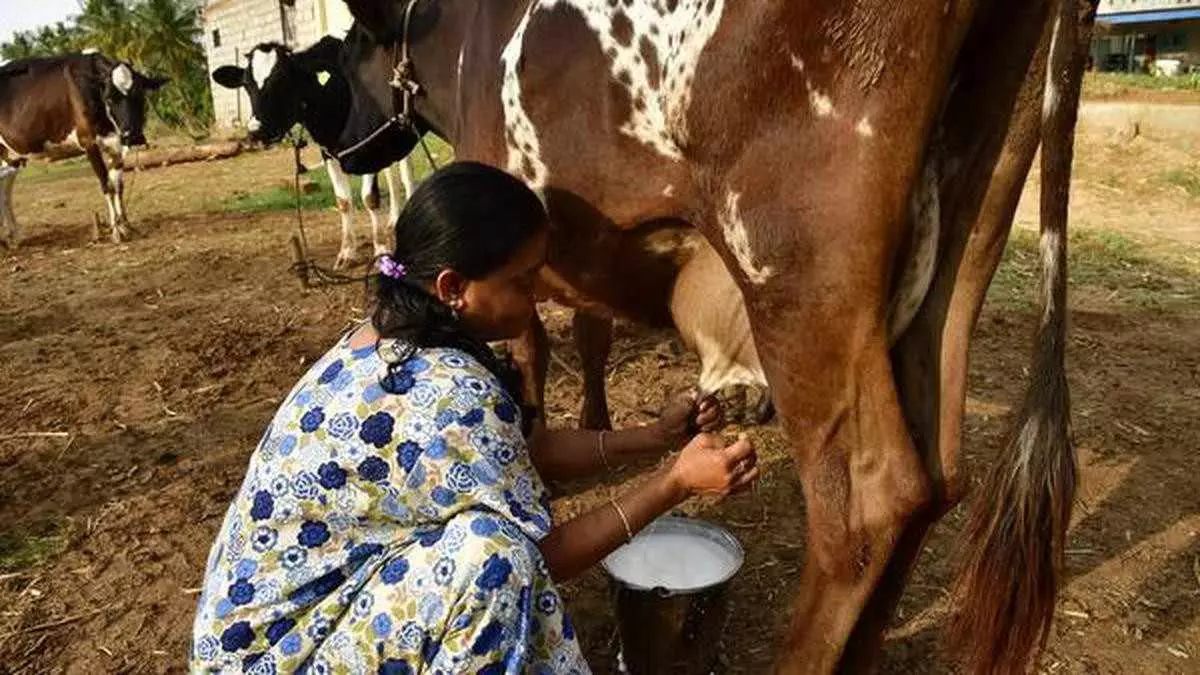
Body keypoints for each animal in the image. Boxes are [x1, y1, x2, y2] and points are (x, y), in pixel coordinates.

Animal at [0, 51, 166, 247]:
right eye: (109, 98)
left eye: (140, 95)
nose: (131, 136)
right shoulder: (89, 142)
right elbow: (107, 185)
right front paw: (116, 231)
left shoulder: (116, 145)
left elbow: (118, 186)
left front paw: (125, 226)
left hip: (10, 157)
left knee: (5, 194)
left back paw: (14, 235)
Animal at [213, 36, 424, 267]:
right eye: (246, 85)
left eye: (282, 79)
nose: (255, 131)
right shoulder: (329, 151)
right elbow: (343, 201)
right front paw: (346, 253)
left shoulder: (368, 142)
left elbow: (369, 197)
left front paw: (381, 250)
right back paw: (393, 220)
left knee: (407, 174)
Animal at [336, 2, 1099, 667]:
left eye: (340, 58)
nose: (340, 152)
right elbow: (588, 337)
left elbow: (533, 353)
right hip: (967, 230)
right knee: (939, 474)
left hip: (798, 266)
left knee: (867, 503)